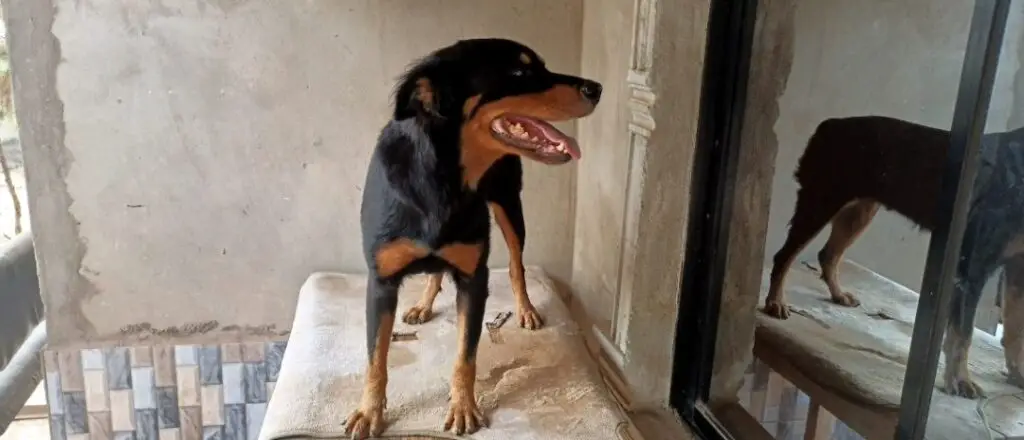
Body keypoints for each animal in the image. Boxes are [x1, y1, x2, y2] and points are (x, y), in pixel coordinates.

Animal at [344, 39, 598, 437]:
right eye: (519, 71)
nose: (597, 88)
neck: (444, 177)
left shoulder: (474, 279)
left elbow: (466, 355)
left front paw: (463, 407)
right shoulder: (381, 281)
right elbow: (375, 358)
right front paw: (369, 412)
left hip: (510, 205)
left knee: (516, 265)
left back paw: (525, 309)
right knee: (436, 270)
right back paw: (423, 304)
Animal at [765, 115, 1024, 401]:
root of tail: (827, 125)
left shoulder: (1017, 267)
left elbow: (1015, 328)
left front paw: (1017, 374)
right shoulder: (972, 268)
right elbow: (962, 335)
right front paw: (961, 381)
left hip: (859, 211)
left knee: (828, 254)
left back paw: (838, 294)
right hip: (820, 202)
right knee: (785, 256)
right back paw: (775, 302)